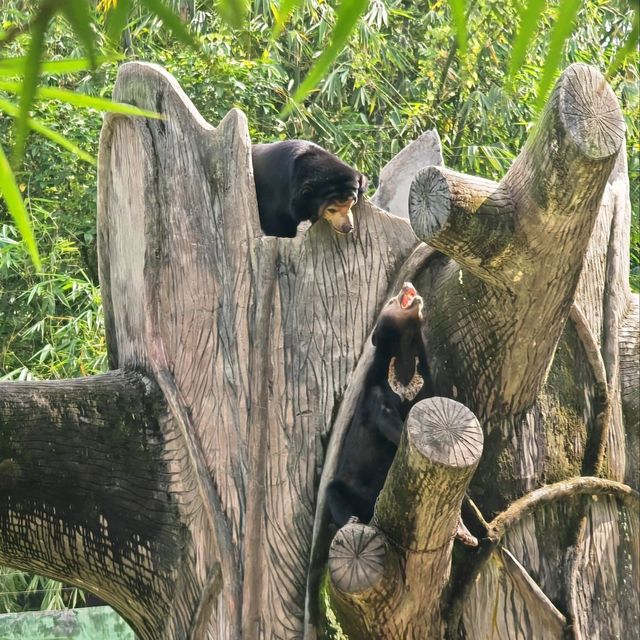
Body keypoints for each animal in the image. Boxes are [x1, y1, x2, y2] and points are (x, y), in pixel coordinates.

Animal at [328, 282, 432, 528]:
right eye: (391, 301)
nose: (407, 284)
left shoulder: (423, 386)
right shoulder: (377, 391)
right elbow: (387, 420)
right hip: (347, 487)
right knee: (333, 493)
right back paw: (353, 519)